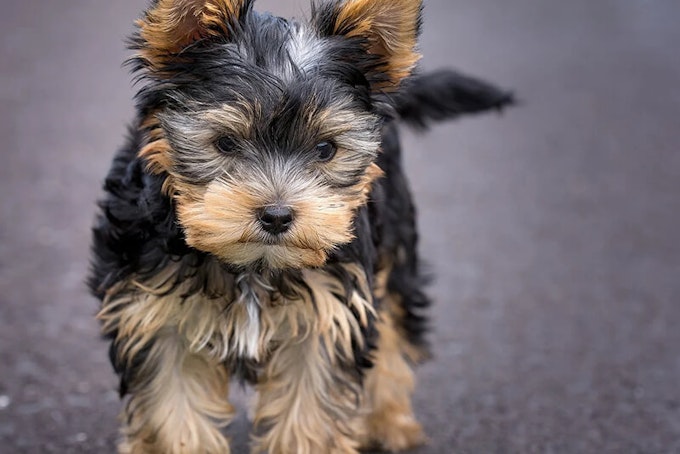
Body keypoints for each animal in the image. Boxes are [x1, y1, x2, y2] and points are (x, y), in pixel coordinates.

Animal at [89, 1, 510, 452]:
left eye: (326, 149)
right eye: (225, 143)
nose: (276, 215)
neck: (253, 266)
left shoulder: (328, 318)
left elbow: (310, 412)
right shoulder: (156, 317)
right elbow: (173, 412)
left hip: (395, 240)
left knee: (394, 325)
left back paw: (390, 422)